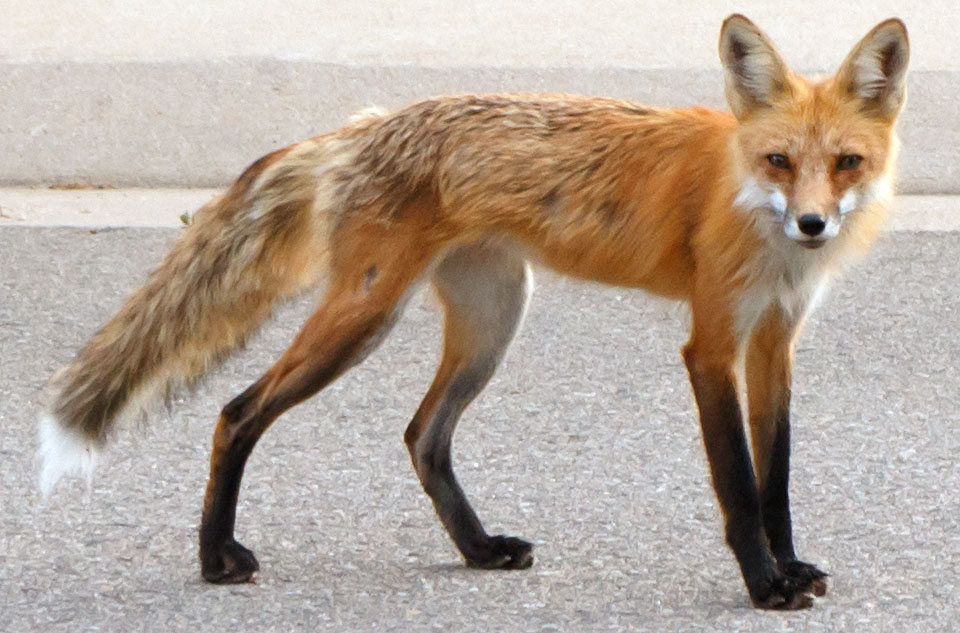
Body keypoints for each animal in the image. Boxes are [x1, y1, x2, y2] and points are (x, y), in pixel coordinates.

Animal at [37, 14, 908, 608]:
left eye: (846, 163)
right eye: (779, 160)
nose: (813, 224)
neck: (750, 210)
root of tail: (366, 124)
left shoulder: (775, 340)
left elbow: (777, 477)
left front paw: (788, 564)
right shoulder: (713, 343)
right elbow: (738, 483)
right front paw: (764, 583)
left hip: (492, 321)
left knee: (423, 436)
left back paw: (480, 548)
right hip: (364, 317)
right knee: (237, 412)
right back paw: (215, 555)